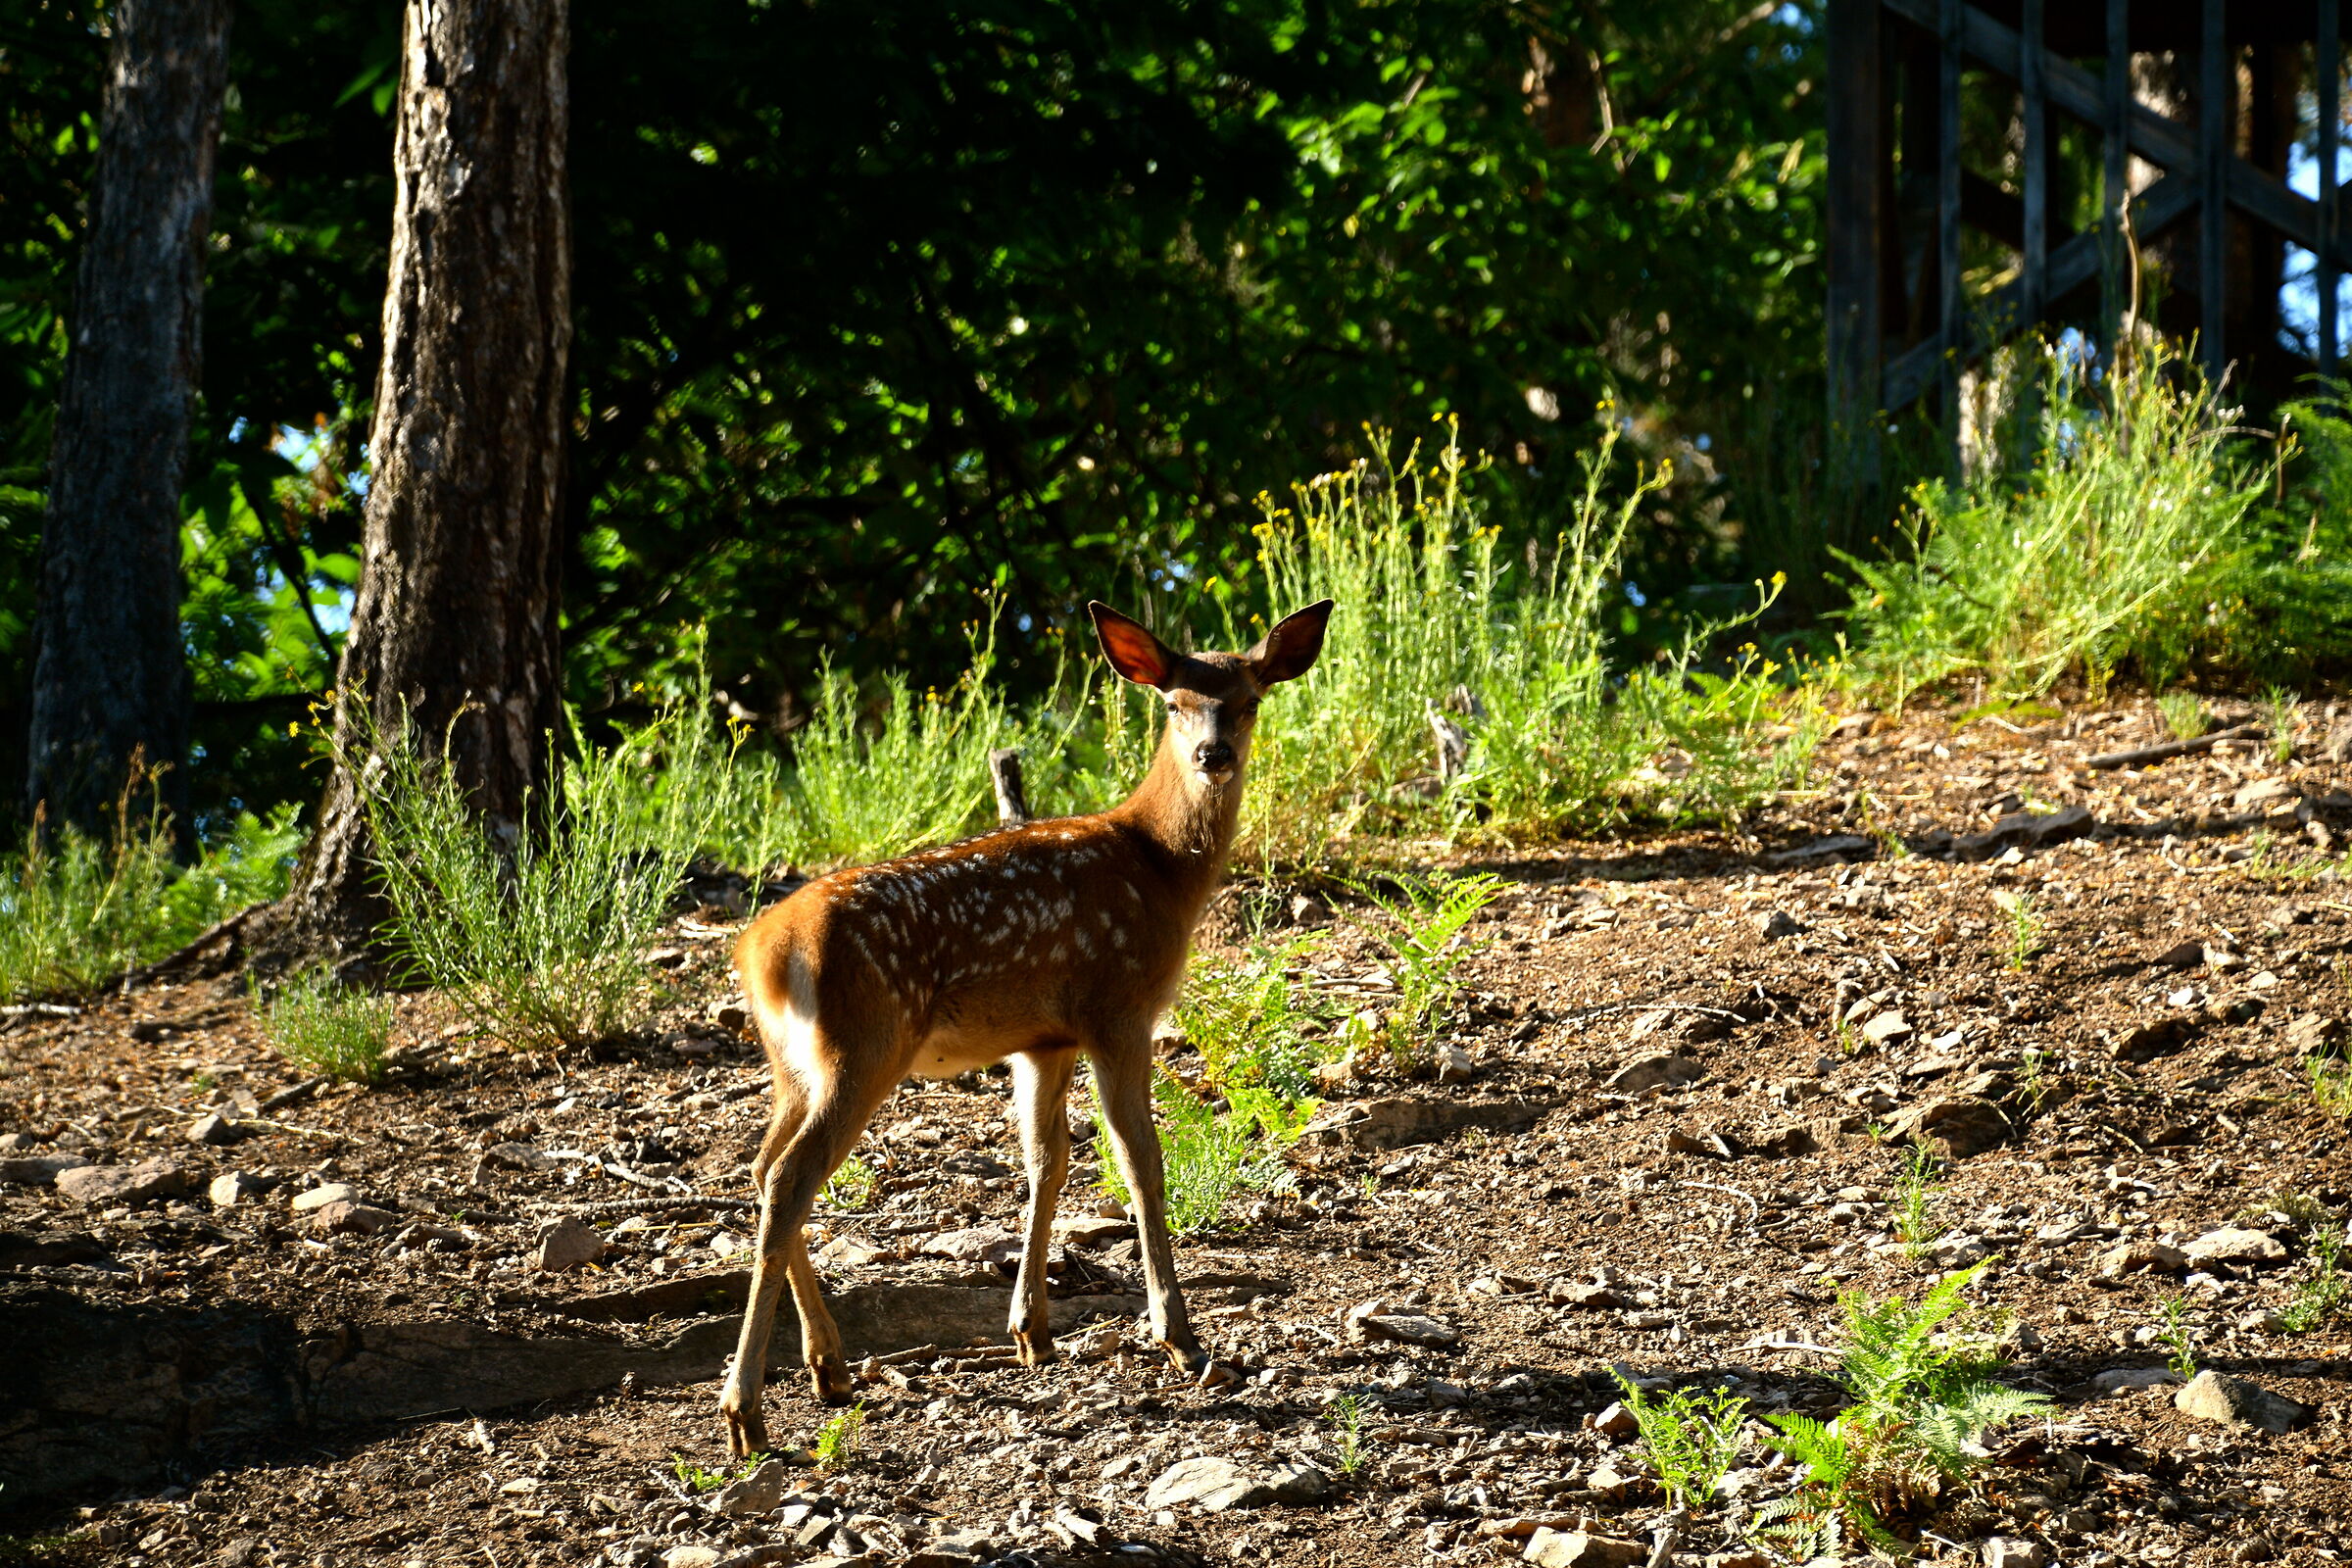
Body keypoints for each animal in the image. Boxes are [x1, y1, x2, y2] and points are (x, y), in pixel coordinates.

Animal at [717, 597, 1335, 1457]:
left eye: (1247, 700)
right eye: (1172, 703)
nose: (1212, 753)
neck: (1160, 865)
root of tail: (764, 953)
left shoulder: (1044, 1039)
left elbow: (1048, 1165)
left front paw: (1031, 1332)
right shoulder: (1118, 1008)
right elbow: (1139, 1162)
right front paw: (1180, 1338)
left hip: (794, 1066)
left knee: (759, 1166)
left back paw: (829, 1367)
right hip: (865, 1045)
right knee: (790, 1178)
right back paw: (746, 1409)